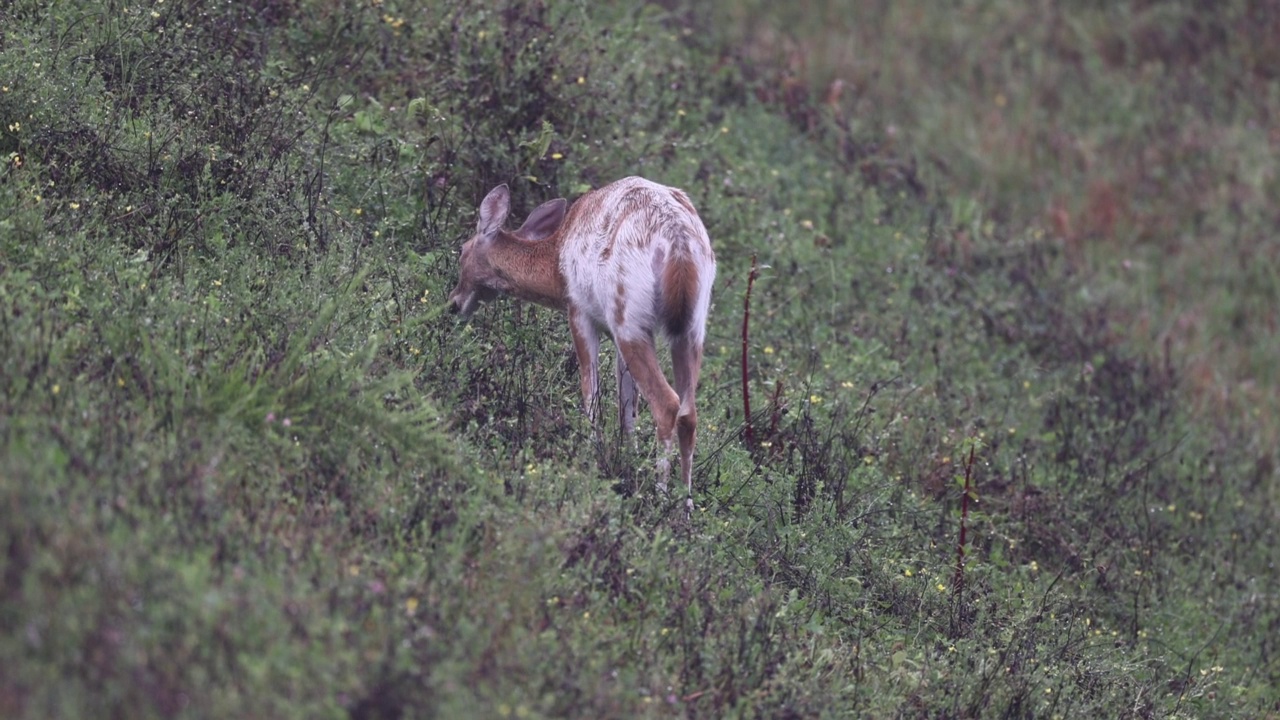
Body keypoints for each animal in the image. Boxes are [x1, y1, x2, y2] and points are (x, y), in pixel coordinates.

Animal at [450, 175, 716, 509]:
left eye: (462, 250)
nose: (454, 303)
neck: (555, 263)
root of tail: (679, 244)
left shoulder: (579, 311)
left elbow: (591, 394)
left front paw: (594, 458)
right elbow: (626, 404)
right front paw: (628, 460)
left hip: (628, 315)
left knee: (667, 403)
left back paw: (660, 497)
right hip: (690, 327)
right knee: (688, 413)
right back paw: (685, 506)